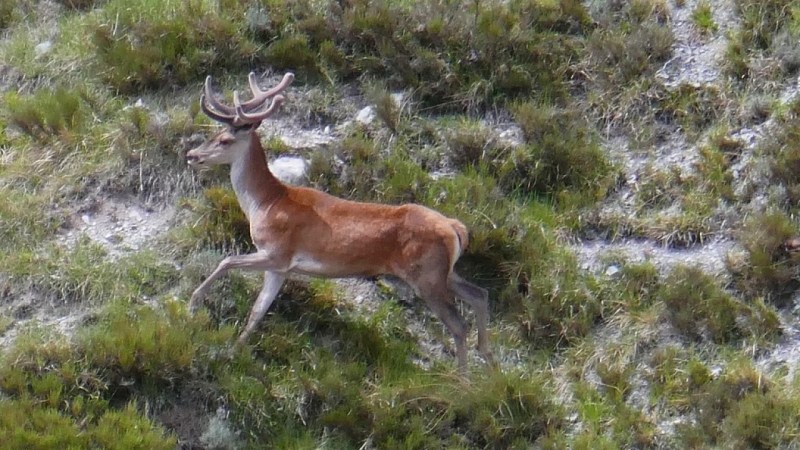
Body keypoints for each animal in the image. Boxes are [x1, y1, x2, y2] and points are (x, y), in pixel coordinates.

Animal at [185, 71, 494, 372]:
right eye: (214, 133)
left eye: (225, 140)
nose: (192, 155)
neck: (266, 203)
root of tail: (455, 227)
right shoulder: (280, 268)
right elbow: (257, 310)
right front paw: (234, 350)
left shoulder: (277, 252)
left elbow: (227, 262)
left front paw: (193, 302)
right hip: (443, 272)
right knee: (479, 294)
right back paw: (489, 364)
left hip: (426, 276)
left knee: (459, 324)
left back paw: (463, 380)